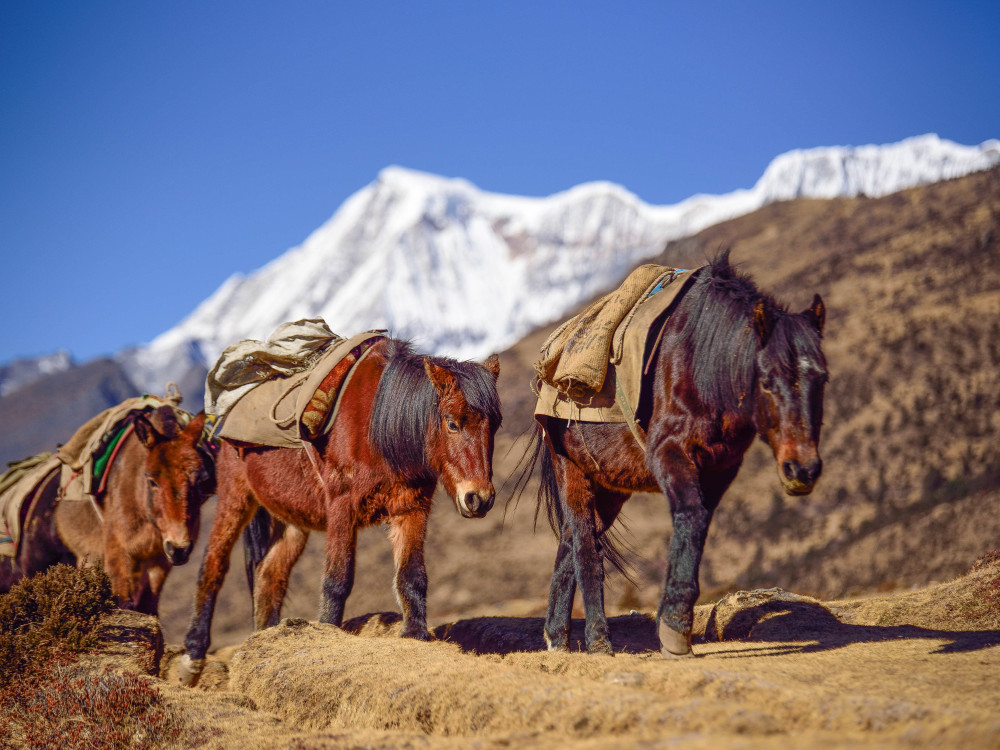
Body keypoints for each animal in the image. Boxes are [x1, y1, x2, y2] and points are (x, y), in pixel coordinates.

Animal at [1, 407, 216, 615]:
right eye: (151, 480)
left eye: (201, 479)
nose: (179, 548)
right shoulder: (117, 555)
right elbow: (122, 601)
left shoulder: (158, 563)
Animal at [179, 337, 502, 686]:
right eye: (452, 423)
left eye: (495, 426)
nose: (479, 499)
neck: (379, 425)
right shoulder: (341, 508)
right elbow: (337, 580)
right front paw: (328, 633)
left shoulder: (412, 509)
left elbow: (412, 576)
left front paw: (415, 636)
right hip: (235, 499)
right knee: (212, 566)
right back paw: (192, 658)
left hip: (291, 520)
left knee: (269, 575)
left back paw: (263, 642)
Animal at [524, 252, 827, 658]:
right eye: (766, 381)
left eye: (822, 379)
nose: (802, 469)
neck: (703, 363)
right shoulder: (669, 453)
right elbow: (690, 516)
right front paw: (673, 631)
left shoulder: (720, 469)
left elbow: (697, 526)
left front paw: (674, 622)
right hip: (571, 470)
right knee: (586, 548)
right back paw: (598, 640)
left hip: (608, 486)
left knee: (571, 542)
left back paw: (557, 639)